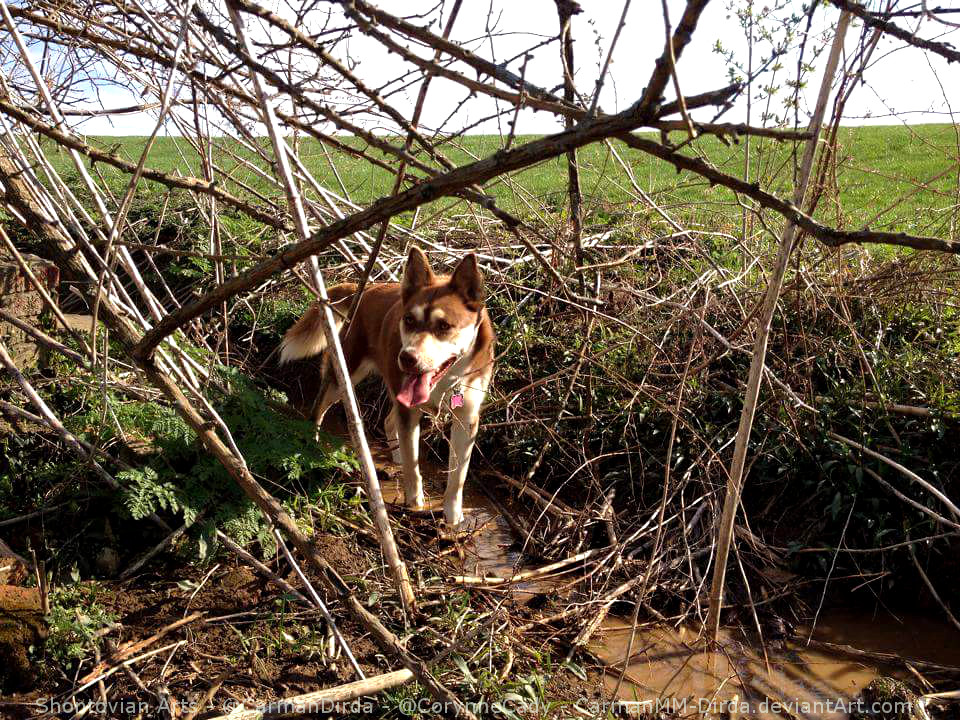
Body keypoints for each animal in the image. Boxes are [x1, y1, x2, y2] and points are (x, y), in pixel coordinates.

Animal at [278, 250, 496, 524]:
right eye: (409, 320)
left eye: (444, 326)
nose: (407, 358)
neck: (447, 381)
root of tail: (366, 288)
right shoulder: (409, 410)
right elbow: (413, 466)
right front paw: (415, 503)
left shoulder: (466, 418)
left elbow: (458, 475)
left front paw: (453, 513)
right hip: (343, 375)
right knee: (318, 410)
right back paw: (312, 443)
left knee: (388, 422)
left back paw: (396, 453)